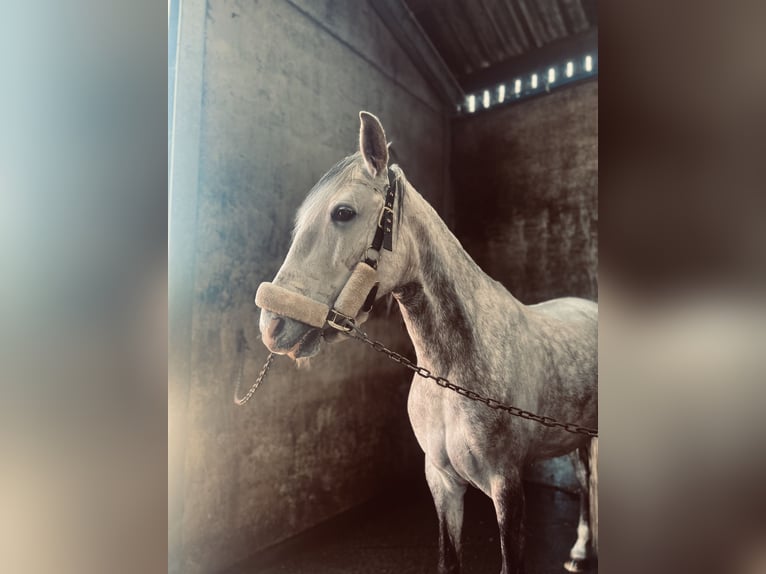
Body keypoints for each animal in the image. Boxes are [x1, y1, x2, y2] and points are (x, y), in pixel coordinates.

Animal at [255, 111, 598, 574]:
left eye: (343, 212)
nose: (272, 325)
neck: (452, 370)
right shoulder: (441, 481)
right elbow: (447, 559)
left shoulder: (507, 485)